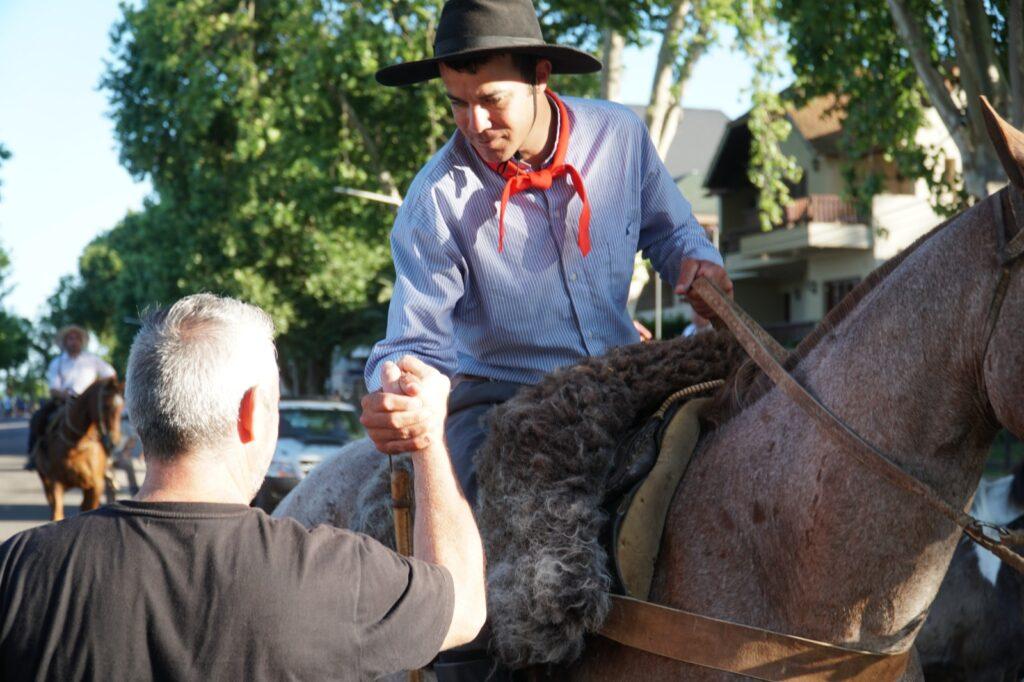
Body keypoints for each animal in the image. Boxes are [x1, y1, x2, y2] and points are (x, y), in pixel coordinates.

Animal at [33, 376, 124, 520]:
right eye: (106, 406)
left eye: (122, 407)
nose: (114, 443)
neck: (76, 447)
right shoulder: (55, 483)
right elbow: (57, 513)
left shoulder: (95, 486)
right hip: (44, 480)